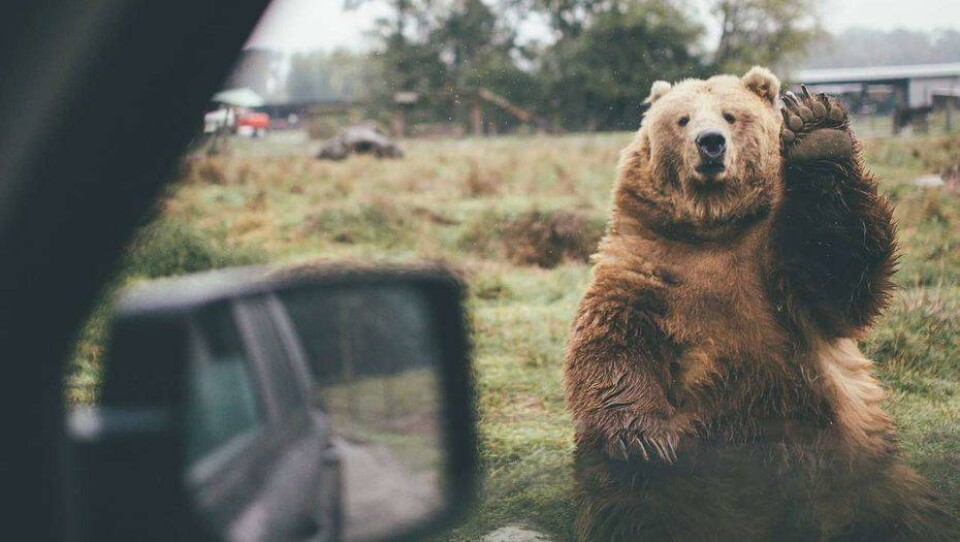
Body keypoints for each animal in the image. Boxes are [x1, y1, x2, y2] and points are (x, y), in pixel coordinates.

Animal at [563, 67, 951, 541]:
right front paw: (647, 440)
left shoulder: (778, 273)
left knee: (903, 513)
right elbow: (612, 342)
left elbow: (839, 271)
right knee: (631, 506)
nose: (711, 142)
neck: (712, 227)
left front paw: (818, 129)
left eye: (731, 116)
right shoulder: (647, 267)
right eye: (683, 119)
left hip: (860, 469)